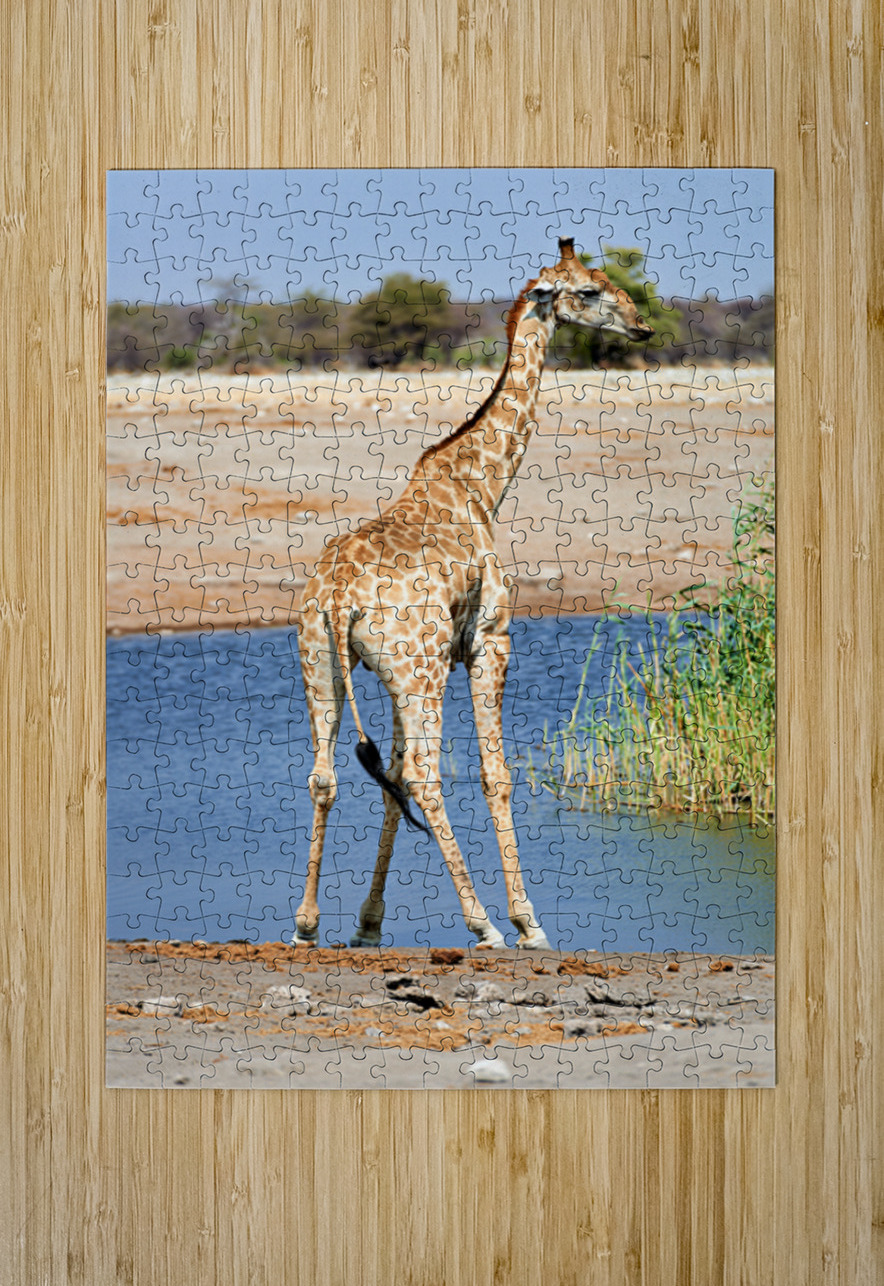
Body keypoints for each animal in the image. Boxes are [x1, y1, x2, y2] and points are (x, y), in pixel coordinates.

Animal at [294, 238, 653, 949]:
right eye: (589, 290)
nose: (642, 327)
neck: (482, 484)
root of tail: (338, 594)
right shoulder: (489, 641)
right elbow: (495, 774)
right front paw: (528, 920)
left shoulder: (397, 672)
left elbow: (389, 776)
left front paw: (369, 924)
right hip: (420, 667)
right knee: (427, 775)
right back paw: (484, 922)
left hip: (326, 663)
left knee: (330, 775)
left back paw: (305, 924)